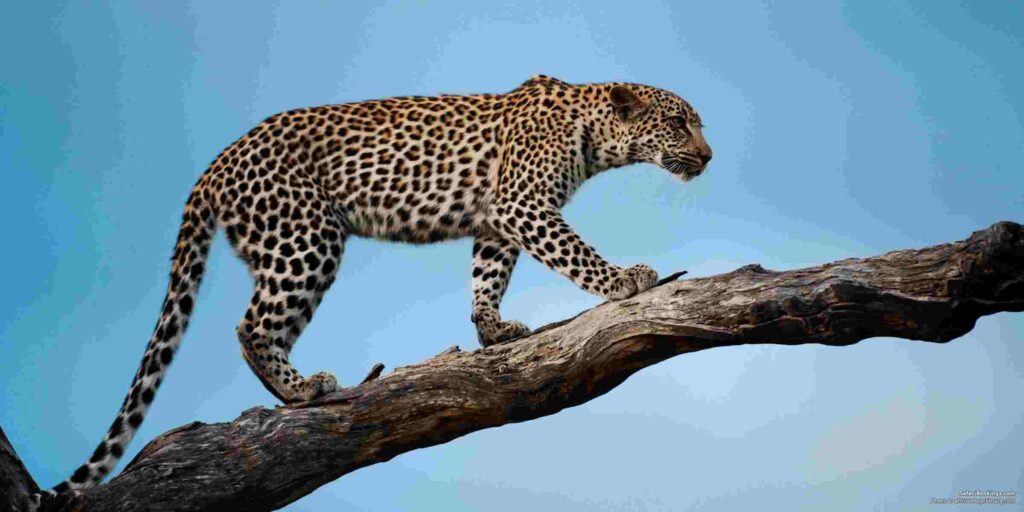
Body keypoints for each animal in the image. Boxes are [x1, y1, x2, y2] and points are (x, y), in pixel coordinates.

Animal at [50, 75, 712, 492]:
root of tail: (215, 165)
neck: (594, 132)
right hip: (306, 238)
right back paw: (302, 390)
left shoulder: (497, 217)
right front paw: (624, 280)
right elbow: (572, 251)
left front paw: (493, 330)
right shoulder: (522, 202)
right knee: (250, 326)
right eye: (679, 124)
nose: (708, 156)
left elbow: (487, 275)